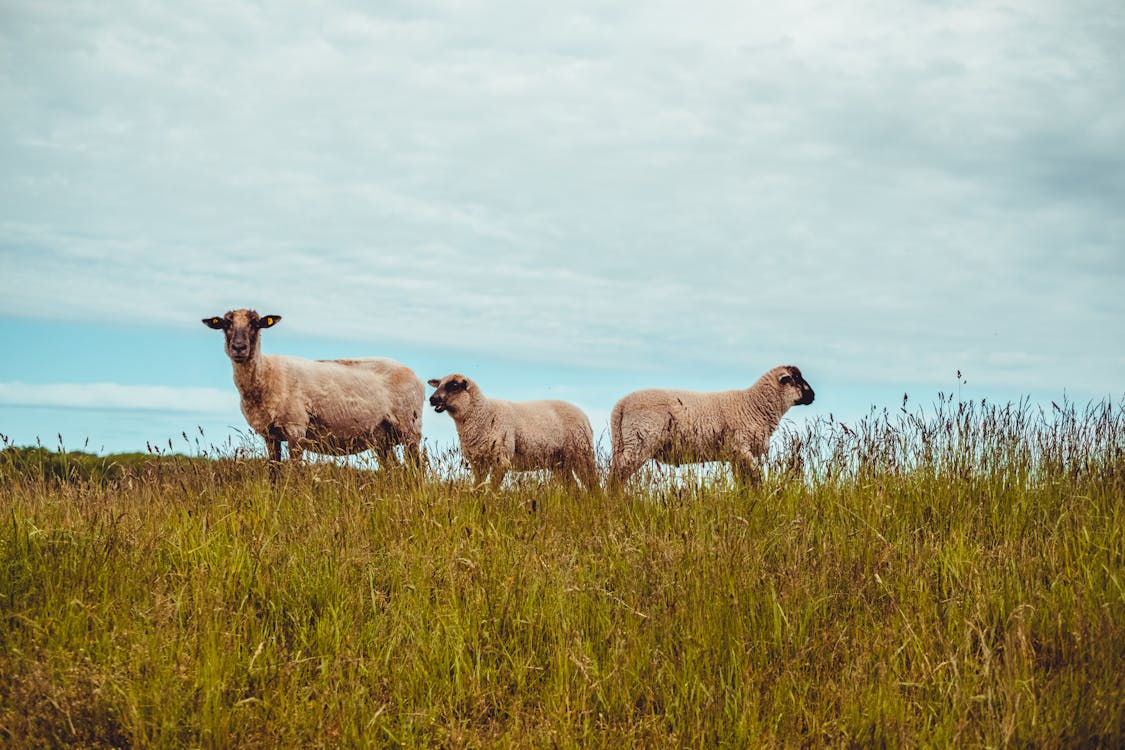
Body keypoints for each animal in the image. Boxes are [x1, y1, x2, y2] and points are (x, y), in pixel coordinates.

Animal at [200, 310, 423, 472]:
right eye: (225, 325)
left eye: (256, 324)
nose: (239, 347)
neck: (266, 375)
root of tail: (415, 376)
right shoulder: (271, 436)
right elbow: (273, 473)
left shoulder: (296, 430)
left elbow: (295, 472)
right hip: (382, 439)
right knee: (394, 471)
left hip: (410, 429)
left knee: (417, 469)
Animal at [425, 375, 598, 492]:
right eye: (439, 384)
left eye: (454, 385)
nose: (432, 399)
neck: (483, 414)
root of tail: (584, 416)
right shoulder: (478, 462)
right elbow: (478, 486)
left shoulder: (501, 459)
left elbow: (492, 488)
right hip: (560, 463)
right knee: (574, 488)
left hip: (581, 453)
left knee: (592, 484)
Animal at [612, 364, 814, 492]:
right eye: (796, 379)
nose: (813, 395)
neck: (754, 405)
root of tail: (621, 405)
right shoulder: (741, 448)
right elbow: (755, 478)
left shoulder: (735, 456)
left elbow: (744, 481)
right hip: (639, 442)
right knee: (617, 476)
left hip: (624, 444)